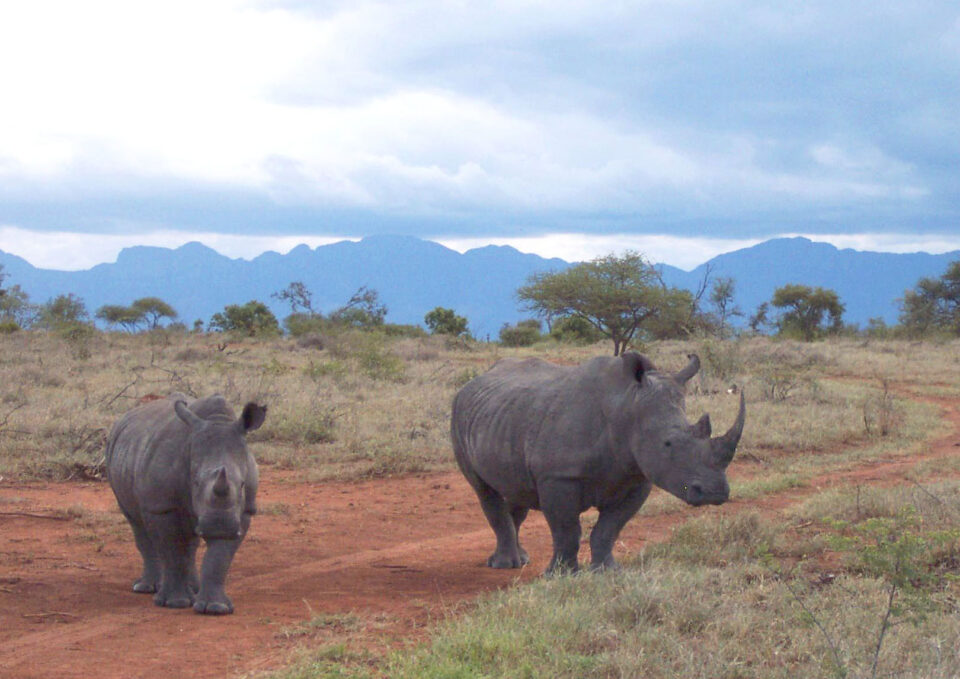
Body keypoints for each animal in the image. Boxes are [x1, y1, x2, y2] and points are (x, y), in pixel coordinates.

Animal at [105, 393, 267, 614]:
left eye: (242, 484)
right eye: (195, 482)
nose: (219, 525)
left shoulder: (243, 512)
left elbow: (219, 559)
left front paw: (215, 608)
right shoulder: (161, 507)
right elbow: (172, 551)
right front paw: (175, 603)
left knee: (190, 540)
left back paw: (194, 588)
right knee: (138, 526)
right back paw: (146, 588)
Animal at [451, 353, 745, 575]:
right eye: (668, 443)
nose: (715, 493)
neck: (626, 407)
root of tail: (475, 381)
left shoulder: (637, 478)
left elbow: (609, 529)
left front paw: (607, 572)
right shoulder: (558, 476)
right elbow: (567, 530)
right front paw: (560, 576)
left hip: (505, 416)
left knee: (515, 489)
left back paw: (521, 559)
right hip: (459, 413)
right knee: (484, 490)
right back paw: (505, 565)